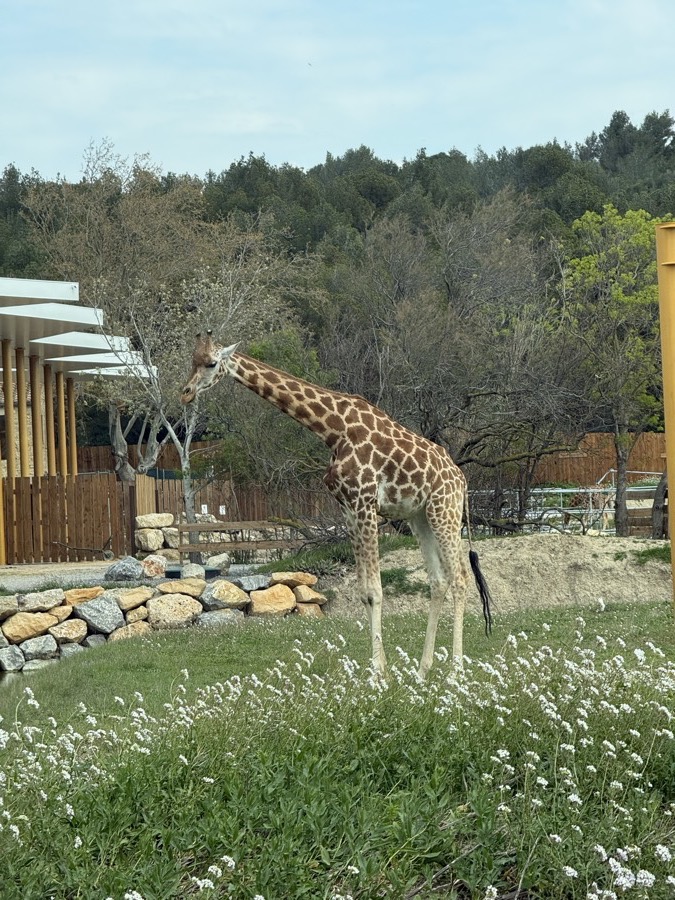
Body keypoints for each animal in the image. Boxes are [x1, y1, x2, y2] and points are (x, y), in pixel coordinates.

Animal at [180, 331, 492, 678]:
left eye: (211, 363)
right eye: (191, 360)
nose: (186, 393)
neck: (332, 429)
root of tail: (461, 479)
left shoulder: (365, 502)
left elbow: (375, 590)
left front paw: (378, 673)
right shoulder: (347, 507)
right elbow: (364, 592)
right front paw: (378, 670)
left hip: (444, 511)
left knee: (460, 578)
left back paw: (455, 671)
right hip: (419, 517)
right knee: (438, 581)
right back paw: (423, 671)